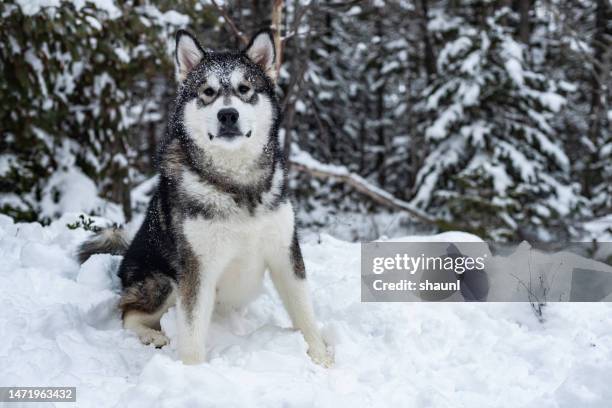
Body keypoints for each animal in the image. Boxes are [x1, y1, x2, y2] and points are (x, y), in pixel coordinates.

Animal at [80, 28, 334, 366]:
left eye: (244, 89)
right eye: (208, 92)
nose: (228, 115)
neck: (237, 185)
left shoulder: (285, 253)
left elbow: (304, 311)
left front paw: (320, 357)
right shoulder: (197, 267)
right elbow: (191, 331)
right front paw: (192, 370)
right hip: (163, 281)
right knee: (128, 313)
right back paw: (152, 335)